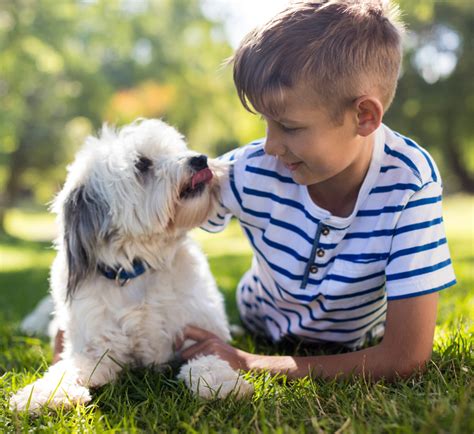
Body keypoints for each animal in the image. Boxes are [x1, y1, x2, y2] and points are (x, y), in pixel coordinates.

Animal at [10, 118, 252, 414]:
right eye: (142, 164)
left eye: (175, 149)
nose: (200, 159)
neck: (139, 267)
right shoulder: (95, 349)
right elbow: (65, 369)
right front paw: (41, 395)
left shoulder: (196, 335)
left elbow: (209, 357)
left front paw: (222, 383)